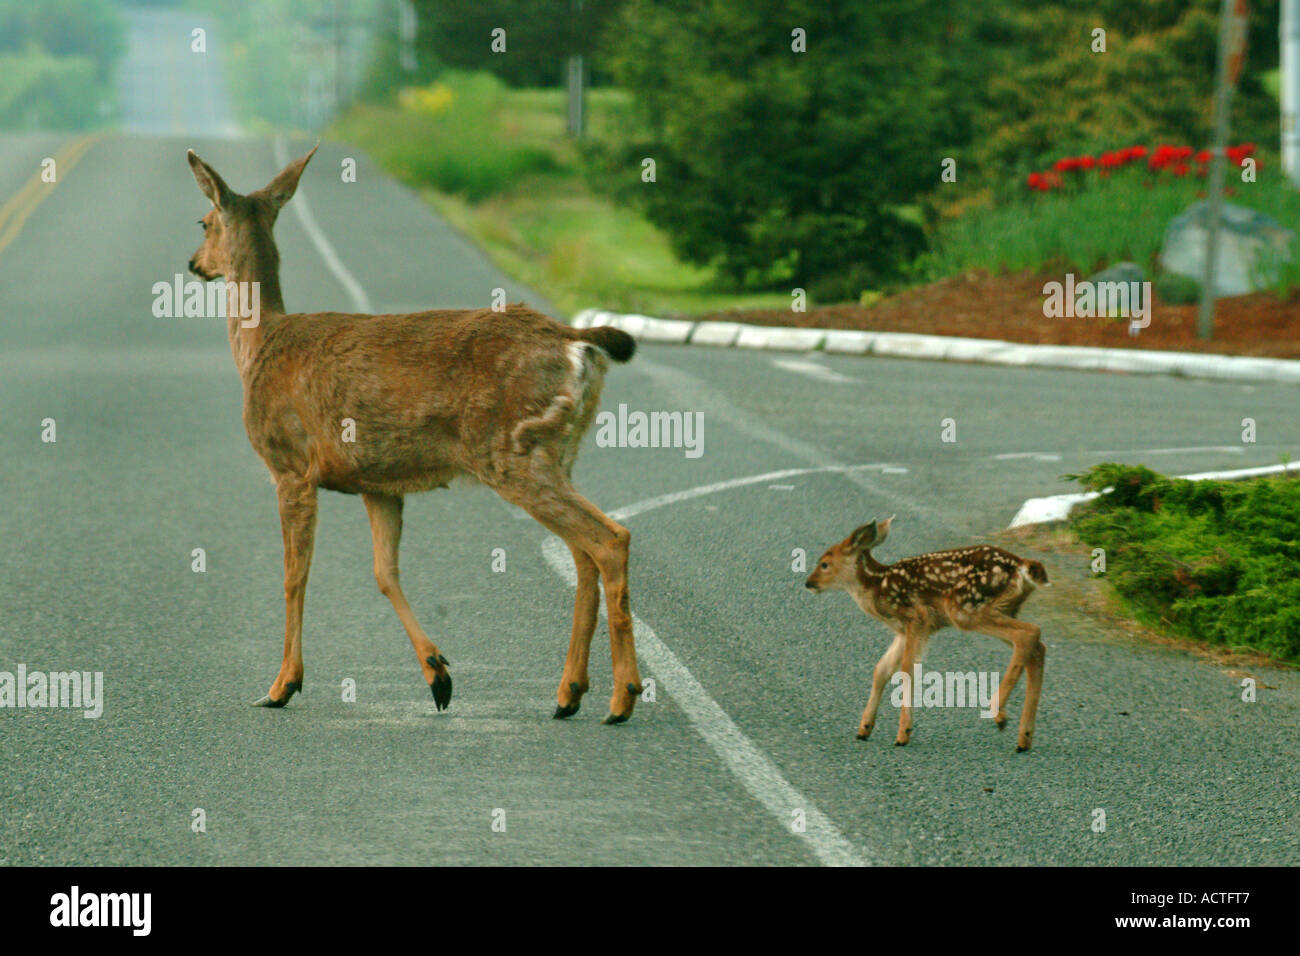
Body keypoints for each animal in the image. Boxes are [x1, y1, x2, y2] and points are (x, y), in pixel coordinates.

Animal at [184, 145, 644, 723]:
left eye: (204, 221)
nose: (193, 263)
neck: (259, 345)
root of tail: (574, 341)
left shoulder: (289, 465)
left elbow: (295, 575)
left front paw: (282, 685)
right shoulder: (379, 484)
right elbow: (385, 573)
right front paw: (438, 675)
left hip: (511, 451)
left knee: (609, 538)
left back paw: (622, 697)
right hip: (559, 451)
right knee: (583, 551)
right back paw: (569, 694)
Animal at [800, 520, 1045, 749]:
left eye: (824, 564)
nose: (809, 583)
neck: (877, 587)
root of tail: (1021, 566)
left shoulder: (917, 618)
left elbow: (907, 669)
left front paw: (903, 734)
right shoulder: (903, 629)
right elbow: (881, 670)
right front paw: (864, 728)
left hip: (965, 608)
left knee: (1029, 632)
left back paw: (999, 715)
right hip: (1002, 608)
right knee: (1037, 647)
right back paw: (1024, 738)